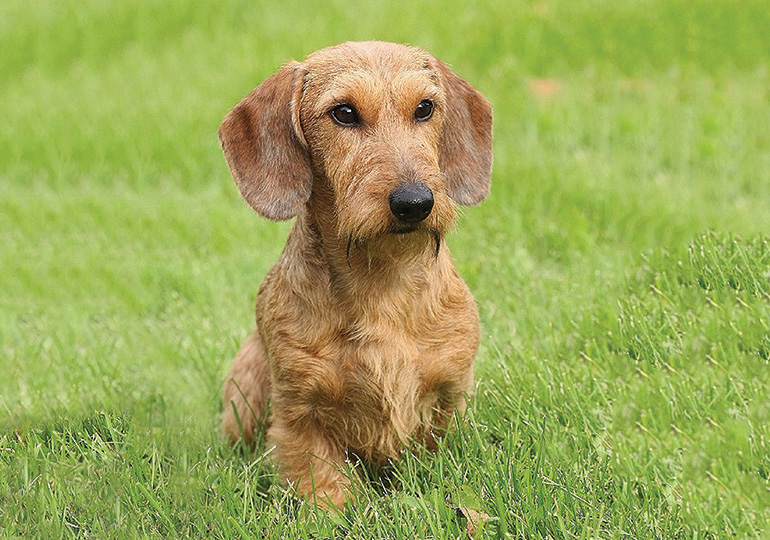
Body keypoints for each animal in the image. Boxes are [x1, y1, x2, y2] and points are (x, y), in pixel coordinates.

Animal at [219, 41, 492, 507]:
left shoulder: (449, 394)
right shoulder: (300, 413)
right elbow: (323, 487)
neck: (382, 281)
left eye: (425, 107)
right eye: (344, 112)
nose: (415, 202)